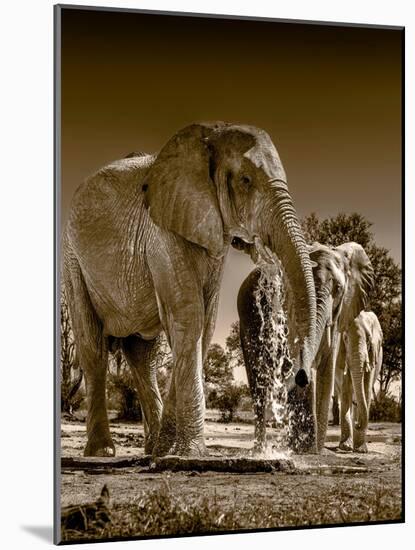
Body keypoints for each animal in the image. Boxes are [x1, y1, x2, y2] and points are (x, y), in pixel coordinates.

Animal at [61, 123, 316, 460]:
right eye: (246, 180)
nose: (299, 375)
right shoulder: (163, 232)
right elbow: (189, 316)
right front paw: (191, 452)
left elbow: (202, 325)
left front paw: (170, 450)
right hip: (72, 261)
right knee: (92, 347)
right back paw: (102, 451)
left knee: (143, 356)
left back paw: (152, 449)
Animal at [239, 244, 376, 454]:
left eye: (338, 289)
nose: (302, 377)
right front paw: (306, 448)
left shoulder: (338, 317)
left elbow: (327, 369)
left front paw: (316, 450)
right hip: (247, 320)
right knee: (257, 376)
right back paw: (261, 449)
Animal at [334, 312, 384, 454]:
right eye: (345, 338)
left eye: (368, 340)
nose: (357, 424)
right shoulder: (341, 354)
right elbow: (345, 391)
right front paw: (345, 447)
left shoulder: (373, 355)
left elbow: (366, 389)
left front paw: (361, 450)